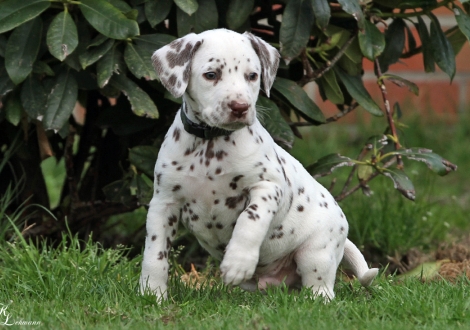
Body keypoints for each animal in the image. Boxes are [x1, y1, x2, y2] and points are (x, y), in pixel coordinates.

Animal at [140, 28, 378, 302]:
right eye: (211, 75)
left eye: (252, 76)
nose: (240, 107)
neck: (210, 145)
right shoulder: (164, 203)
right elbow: (155, 253)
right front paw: (152, 293)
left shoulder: (267, 187)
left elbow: (250, 220)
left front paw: (238, 262)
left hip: (316, 251)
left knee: (321, 287)